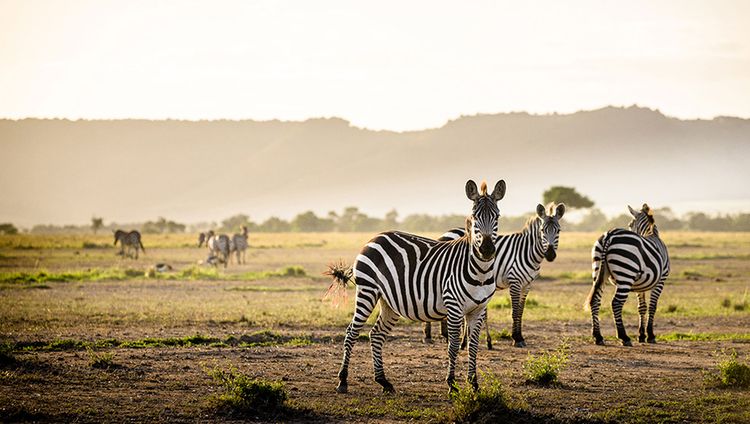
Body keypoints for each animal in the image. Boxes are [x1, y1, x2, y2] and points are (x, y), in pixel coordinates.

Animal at [328, 179, 506, 394]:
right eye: (474, 217)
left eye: (497, 216)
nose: (486, 250)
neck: (480, 271)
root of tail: (375, 237)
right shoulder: (454, 306)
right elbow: (454, 345)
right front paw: (452, 384)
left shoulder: (478, 309)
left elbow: (473, 346)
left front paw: (474, 384)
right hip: (367, 291)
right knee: (351, 333)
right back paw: (342, 381)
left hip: (389, 301)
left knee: (376, 335)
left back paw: (383, 381)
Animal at [426, 204, 568, 350]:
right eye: (542, 230)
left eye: (558, 230)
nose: (550, 255)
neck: (527, 251)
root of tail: (446, 234)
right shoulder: (515, 281)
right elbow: (515, 311)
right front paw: (516, 338)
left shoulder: (527, 285)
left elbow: (521, 311)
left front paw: (520, 337)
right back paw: (432, 336)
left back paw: (443, 335)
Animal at [584, 204, 672, 346]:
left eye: (630, 224)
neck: (650, 233)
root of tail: (609, 235)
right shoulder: (661, 280)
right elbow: (653, 306)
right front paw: (650, 335)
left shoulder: (641, 284)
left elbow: (642, 307)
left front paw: (641, 335)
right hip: (625, 275)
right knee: (616, 303)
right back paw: (623, 337)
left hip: (598, 270)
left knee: (596, 300)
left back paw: (598, 336)